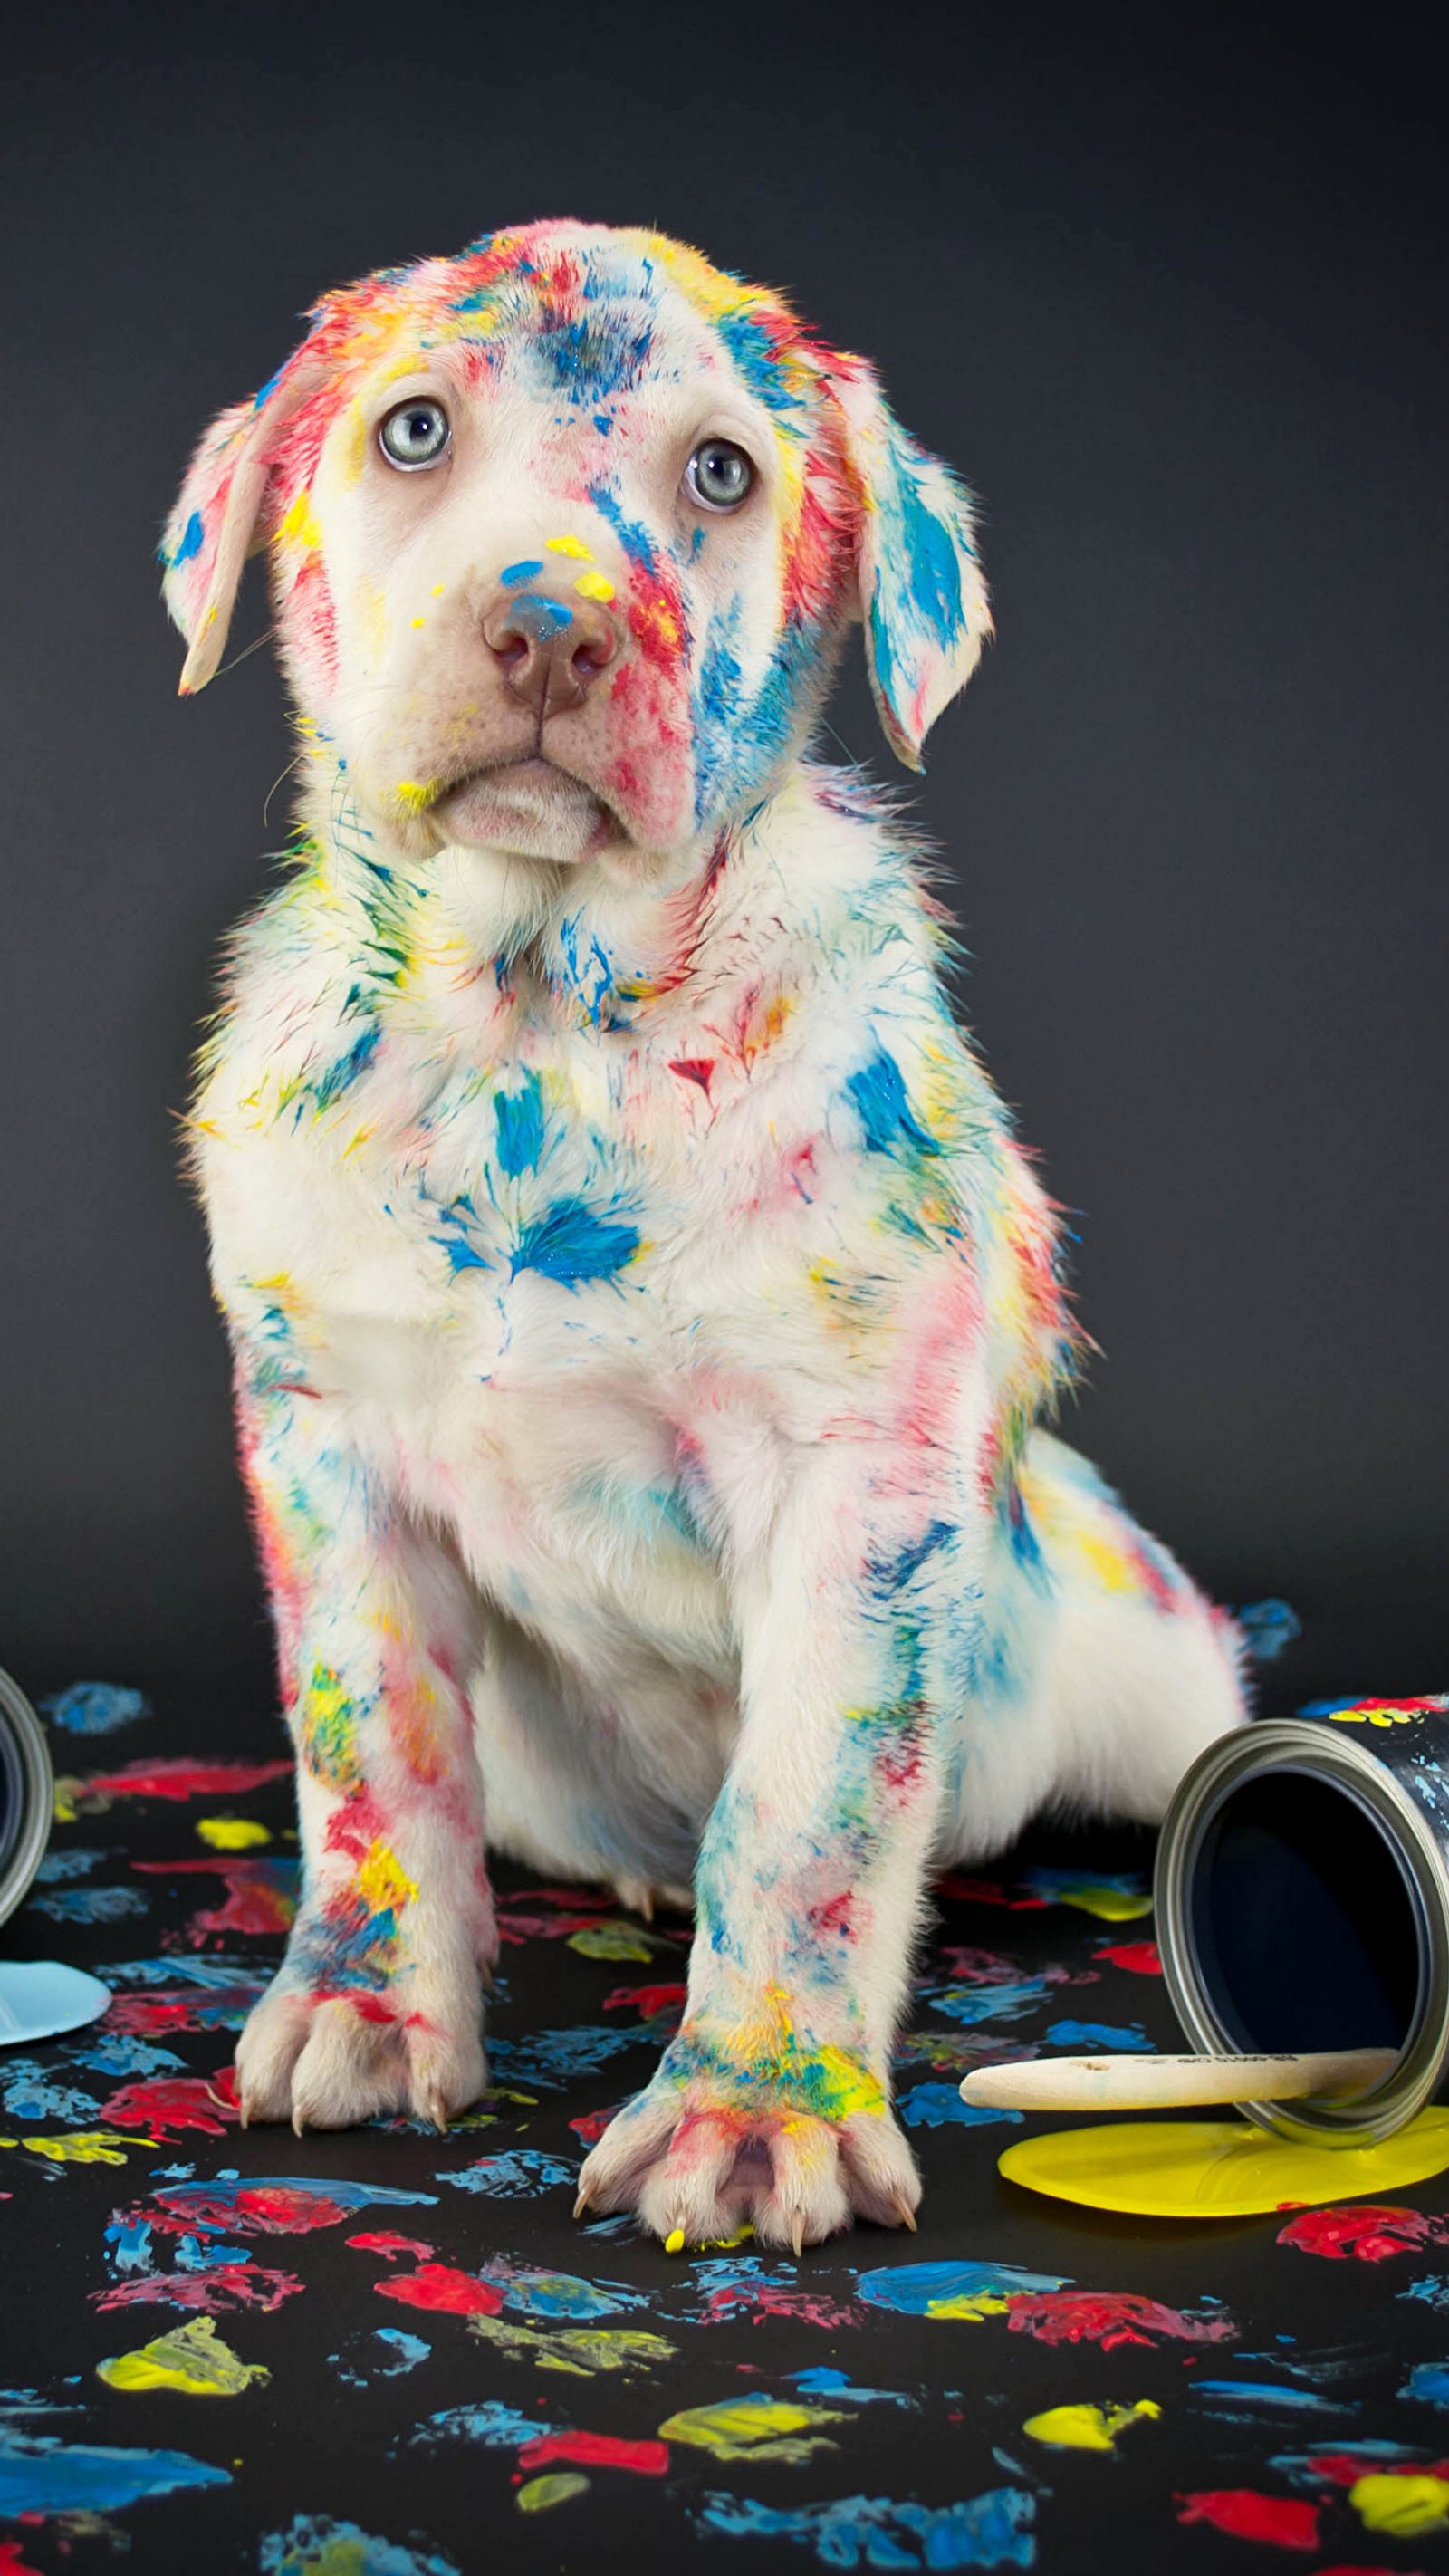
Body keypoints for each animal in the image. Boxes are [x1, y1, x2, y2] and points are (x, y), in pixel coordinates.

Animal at [161, 226, 1245, 2256]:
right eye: (412, 430)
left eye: (723, 472)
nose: (551, 629)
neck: (532, 1035)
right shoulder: (325, 1440)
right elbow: (369, 1754)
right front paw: (365, 2005)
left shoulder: (856, 1484)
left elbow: (804, 1808)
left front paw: (754, 2110)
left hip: (1134, 1642)